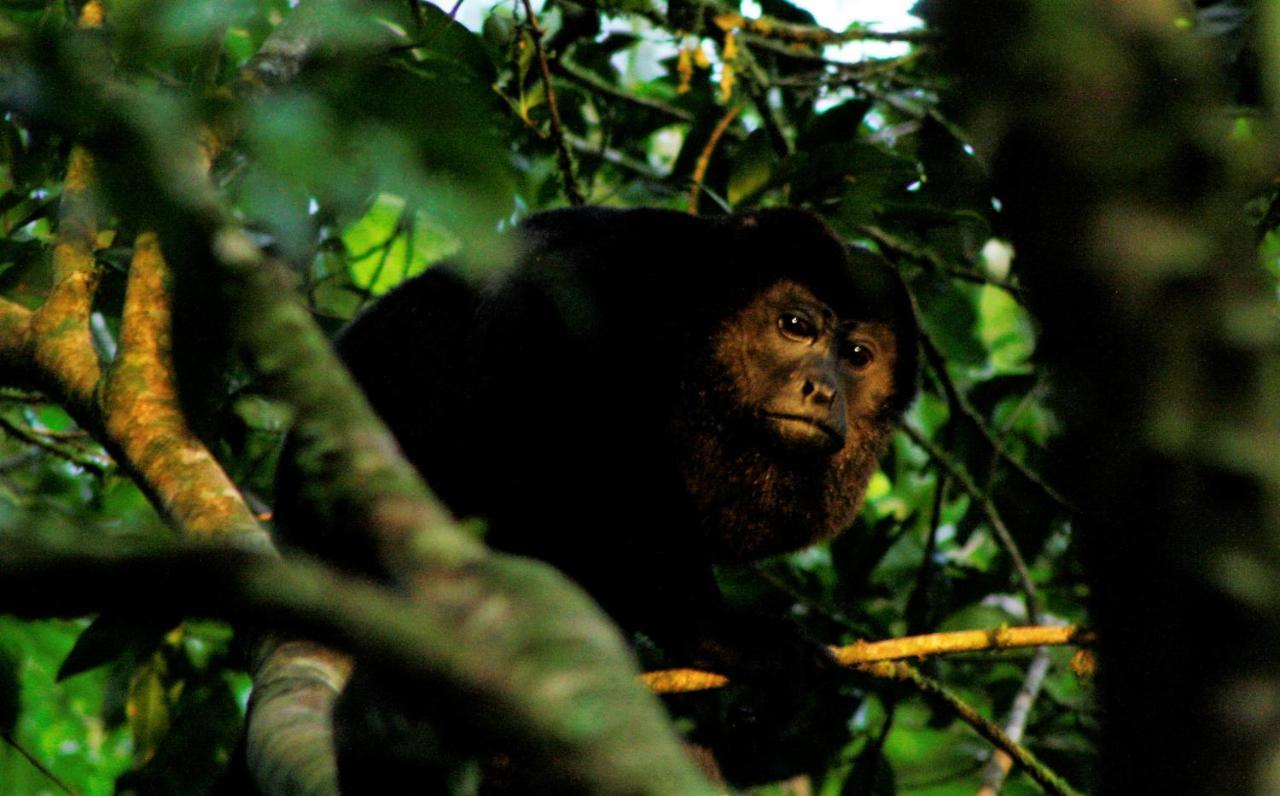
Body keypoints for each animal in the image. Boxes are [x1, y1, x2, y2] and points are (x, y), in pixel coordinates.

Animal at [272, 204, 921, 788]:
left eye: (857, 357)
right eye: (794, 326)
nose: (822, 389)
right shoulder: (624, 280)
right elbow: (552, 403)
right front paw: (718, 636)